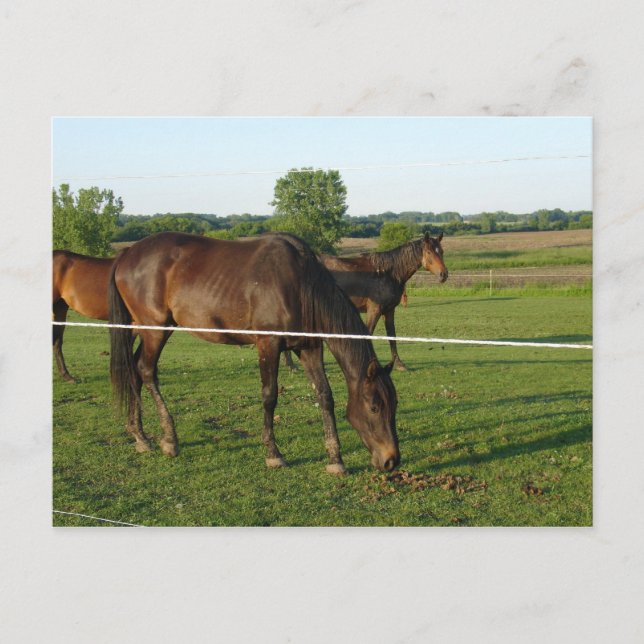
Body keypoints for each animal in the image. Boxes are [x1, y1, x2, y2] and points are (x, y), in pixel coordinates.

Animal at [108, 231, 400, 474]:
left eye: (394, 404)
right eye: (374, 407)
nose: (391, 460)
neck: (299, 284)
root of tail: (127, 254)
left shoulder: (309, 347)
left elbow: (325, 396)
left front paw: (335, 459)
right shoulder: (268, 343)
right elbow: (270, 396)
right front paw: (273, 454)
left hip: (146, 329)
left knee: (133, 370)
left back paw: (140, 436)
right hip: (155, 329)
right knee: (146, 371)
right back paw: (169, 440)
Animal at [284, 232, 448, 372]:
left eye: (441, 251)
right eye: (429, 252)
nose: (444, 274)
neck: (388, 273)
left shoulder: (389, 311)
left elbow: (392, 336)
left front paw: (399, 364)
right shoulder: (374, 310)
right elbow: (368, 334)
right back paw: (291, 365)